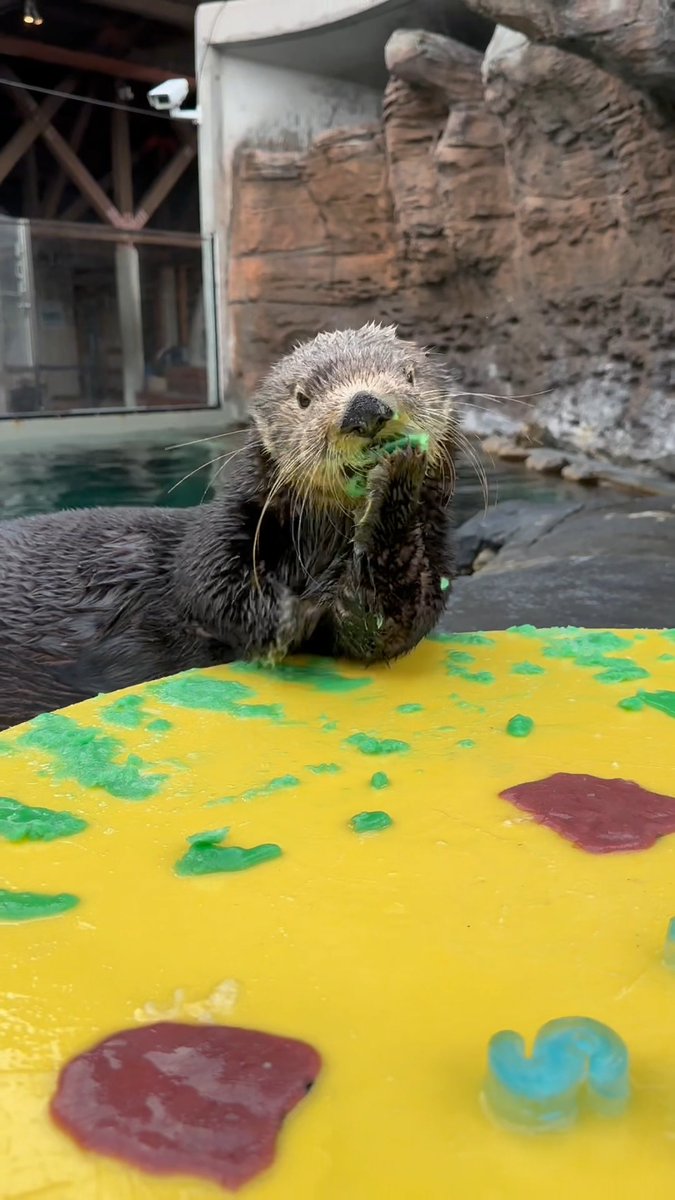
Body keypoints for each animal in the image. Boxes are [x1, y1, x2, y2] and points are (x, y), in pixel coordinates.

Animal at [0, 324, 457, 730]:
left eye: (409, 375)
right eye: (303, 397)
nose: (365, 408)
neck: (318, 548)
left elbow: (379, 622)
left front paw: (396, 480)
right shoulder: (226, 531)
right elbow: (211, 588)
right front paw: (294, 614)